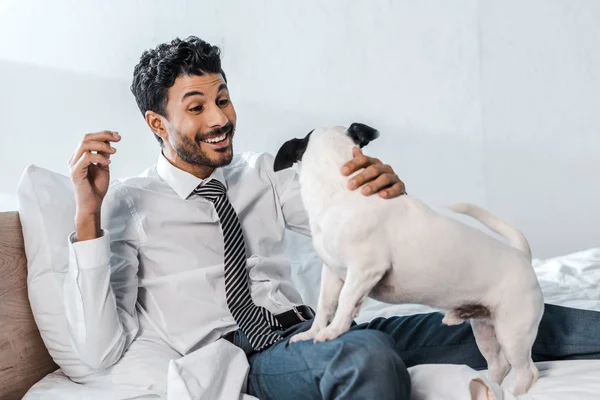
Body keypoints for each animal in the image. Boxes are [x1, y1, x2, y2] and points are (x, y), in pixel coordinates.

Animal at [274, 123, 548, 396]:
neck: (338, 190)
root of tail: (522, 256)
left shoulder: (365, 269)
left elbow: (345, 302)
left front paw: (333, 331)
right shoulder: (332, 273)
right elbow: (325, 305)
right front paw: (312, 332)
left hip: (513, 332)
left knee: (527, 371)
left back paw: (515, 393)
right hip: (484, 329)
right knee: (499, 365)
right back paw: (491, 388)